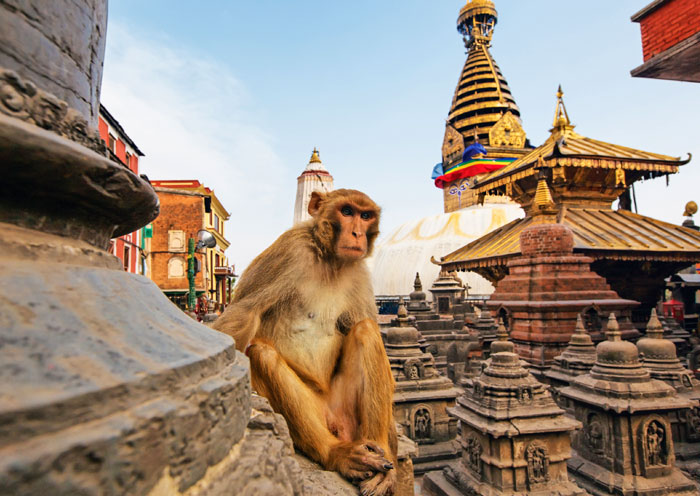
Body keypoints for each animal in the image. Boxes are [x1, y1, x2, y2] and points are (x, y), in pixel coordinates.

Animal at [213, 188, 396, 494]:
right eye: (347, 211)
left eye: (366, 215)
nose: (357, 233)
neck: (330, 260)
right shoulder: (290, 251)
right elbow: (244, 313)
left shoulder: (359, 272)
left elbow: (362, 324)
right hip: (315, 411)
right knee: (261, 353)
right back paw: (336, 453)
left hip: (347, 410)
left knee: (366, 329)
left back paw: (379, 449)